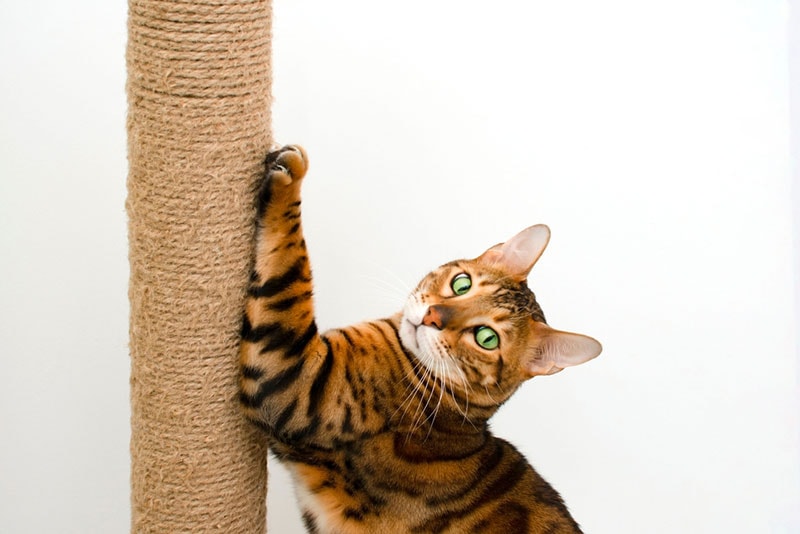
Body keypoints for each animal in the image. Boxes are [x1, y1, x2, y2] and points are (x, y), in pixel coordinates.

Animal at [241, 144, 604, 532]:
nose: (432, 317)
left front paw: (291, 174)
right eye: (462, 283)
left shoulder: (295, 383)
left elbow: (290, 265)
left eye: (486, 337)